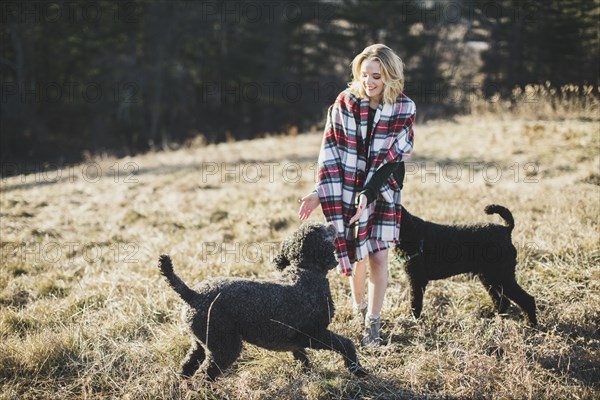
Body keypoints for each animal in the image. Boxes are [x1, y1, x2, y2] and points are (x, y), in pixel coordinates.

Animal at [159, 222, 366, 382]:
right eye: (320, 228)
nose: (332, 224)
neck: (304, 271)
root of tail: (192, 294)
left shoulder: (297, 340)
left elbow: (302, 357)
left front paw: (307, 373)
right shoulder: (313, 334)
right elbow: (346, 344)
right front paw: (358, 370)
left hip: (201, 342)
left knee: (187, 366)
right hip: (224, 346)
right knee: (203, 376)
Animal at [394, 205, 540, 326]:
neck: (408, 228)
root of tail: (506, 230)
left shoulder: (416, 279)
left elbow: (415, 302)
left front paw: (413, 321)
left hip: (501, 276)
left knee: (527, 300)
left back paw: (531, 324)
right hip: (489, 277)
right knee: (503, 302)